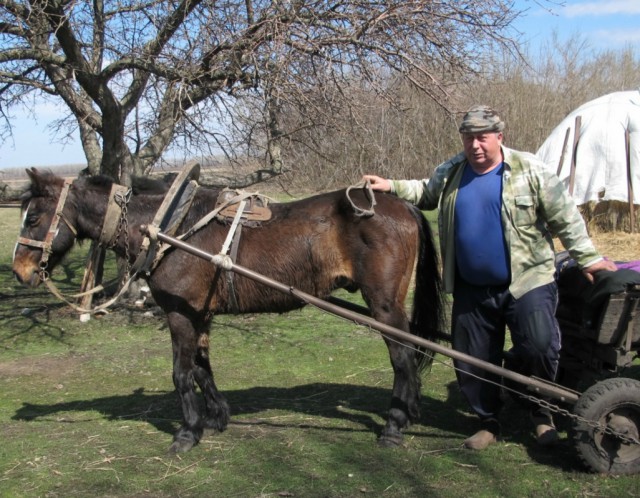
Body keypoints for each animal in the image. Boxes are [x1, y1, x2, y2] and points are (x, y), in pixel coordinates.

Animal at [13, 166, 444, 452]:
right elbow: (202, 368)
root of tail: (402, 207)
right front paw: (217, 416)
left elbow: (181, 373)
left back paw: (394, 424)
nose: (20, 271)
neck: (169, 227)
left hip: (383, 306)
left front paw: (187, 433)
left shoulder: (179, 314)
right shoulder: (198, 314)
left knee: (402, 357)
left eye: (33, 217)